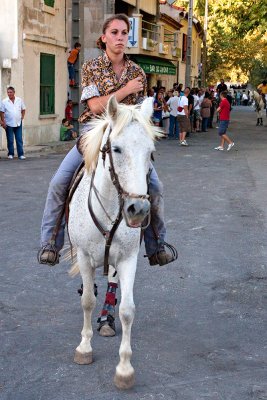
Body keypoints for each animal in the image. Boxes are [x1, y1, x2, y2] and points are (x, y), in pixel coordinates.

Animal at [69, 95, 161, 390]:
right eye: (117, 149)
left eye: (150, 152)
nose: (138, 210)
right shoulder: (84, 256)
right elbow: (87, 300)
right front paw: (84, 348)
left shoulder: (129, 258)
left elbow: (128, 310)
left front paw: (124, 369)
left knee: (111, 285)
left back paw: (106, 320)